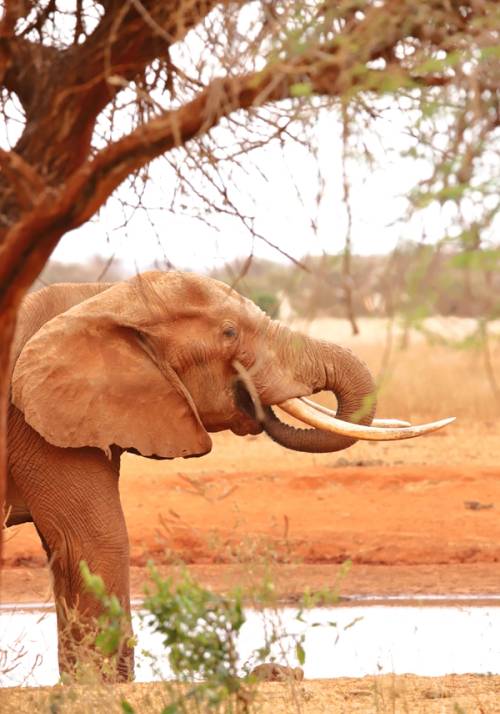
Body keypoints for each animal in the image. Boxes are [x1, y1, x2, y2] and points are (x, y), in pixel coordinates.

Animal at [5, 270, 453, 680]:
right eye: (230, 332)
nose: (251, 394)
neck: (99, 297)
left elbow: (65, 548)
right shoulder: (39, 426)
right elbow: (95, 541)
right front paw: (103, 689)